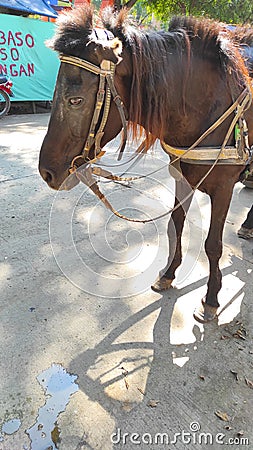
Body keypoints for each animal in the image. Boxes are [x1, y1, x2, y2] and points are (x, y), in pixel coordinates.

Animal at [38, 7, 253, 324]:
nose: (47, 172)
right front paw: (168, 274)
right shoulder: (181, 176)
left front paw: (212, 298)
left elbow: (213, 245)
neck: (206, 100)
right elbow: (175, 225)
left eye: (75, 100)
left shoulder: (224, 186)